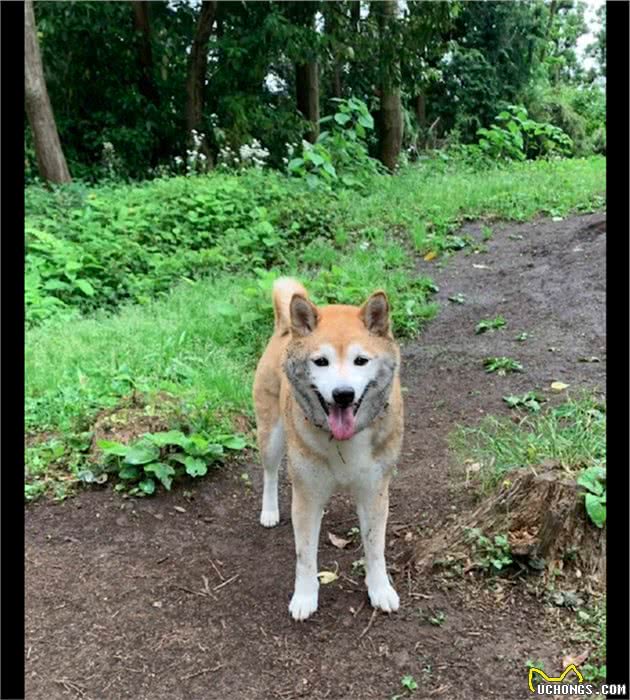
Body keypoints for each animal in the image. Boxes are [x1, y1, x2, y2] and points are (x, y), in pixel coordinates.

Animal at [253, 276, 404, 620]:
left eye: (361, 360)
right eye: (321, 361)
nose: (343, 394)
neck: (344, 442)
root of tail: (285, 328)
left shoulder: (374, 490)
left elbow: (375, 549)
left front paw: (380, 589)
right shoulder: (307, 494)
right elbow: (305, 555)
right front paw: (305, 597)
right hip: (271, 435)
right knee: (269, 472)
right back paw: (269, 511)